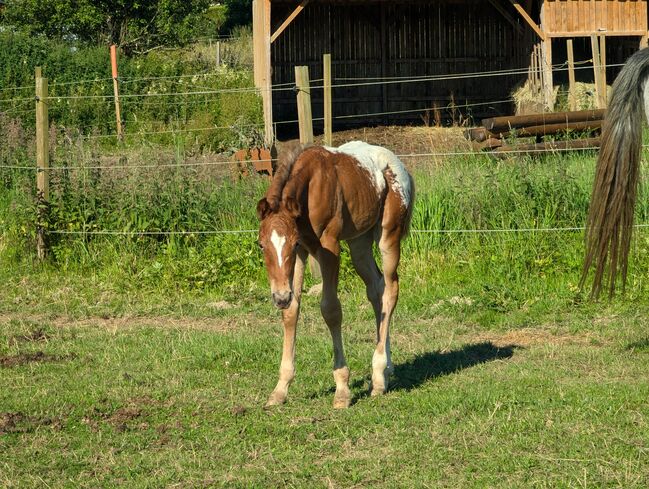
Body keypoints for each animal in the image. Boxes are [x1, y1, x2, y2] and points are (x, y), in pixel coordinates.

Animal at [256, 141, 412, 408]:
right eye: (261, 245)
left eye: (291, 243)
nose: (279, 297)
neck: (310, 189)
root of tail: (400, 165)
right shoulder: (303, 252)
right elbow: (291, 311)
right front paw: (280, 389)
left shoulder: (328, 246)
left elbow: (331, 310)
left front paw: (342, 390)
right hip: (359, 242)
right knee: (377, 289)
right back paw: (385, 371)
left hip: (388, 236)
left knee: (391, 289)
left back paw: (378, 376)